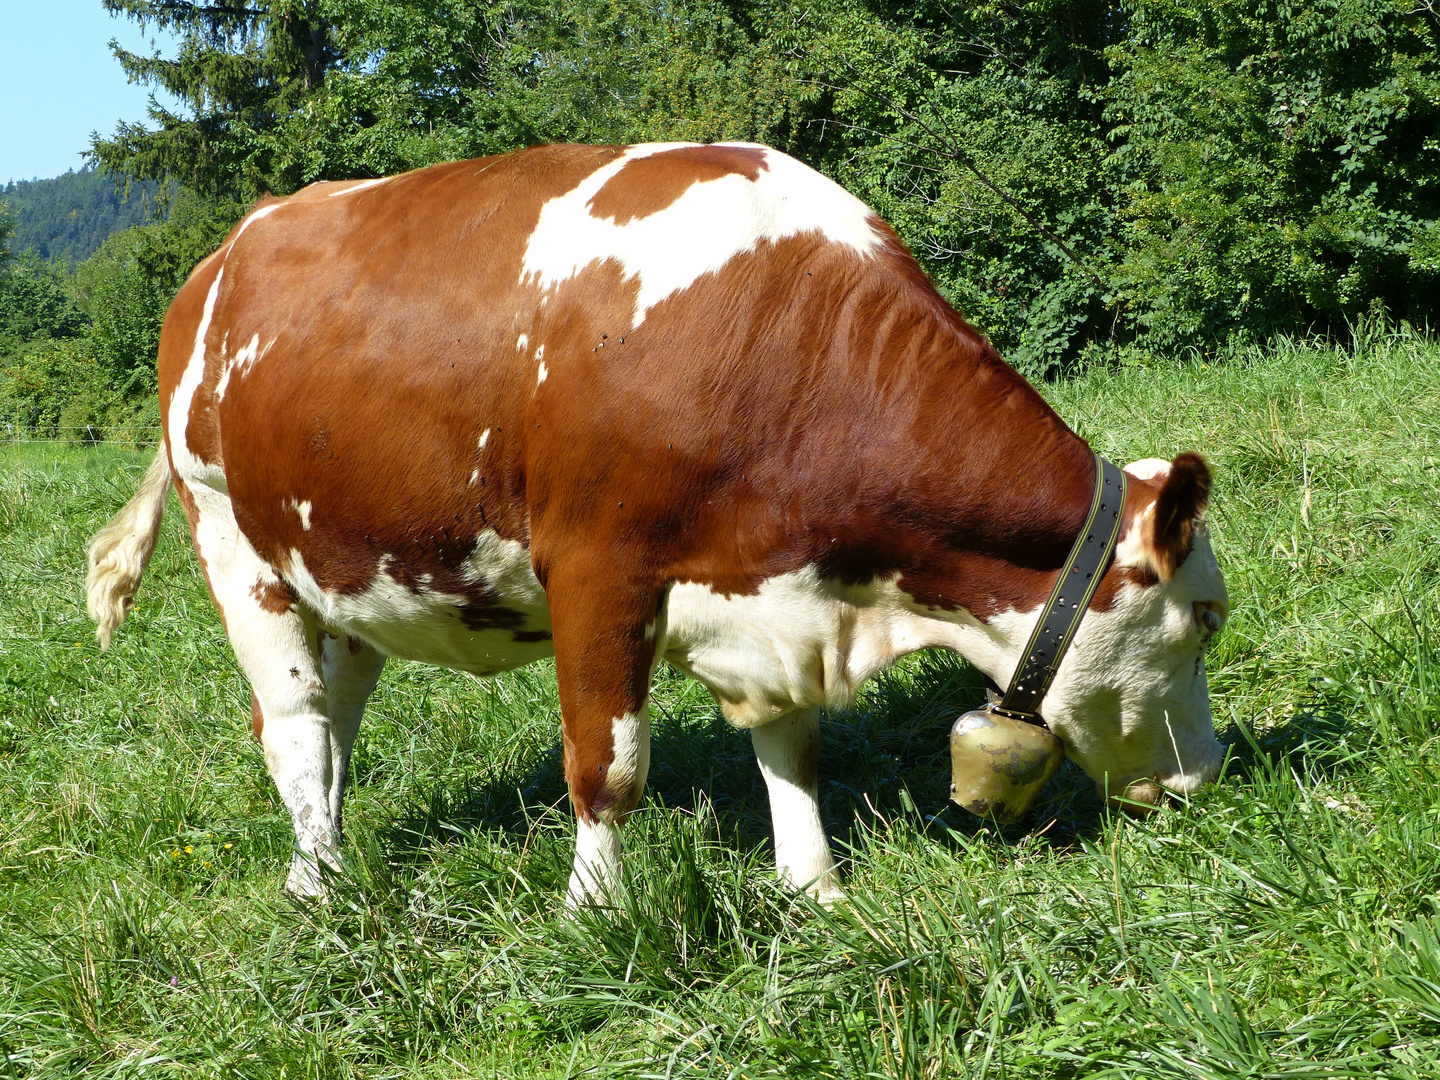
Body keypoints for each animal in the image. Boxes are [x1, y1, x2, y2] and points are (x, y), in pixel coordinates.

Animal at [84, 144, 1232, 904]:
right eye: (1205, 619)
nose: (1209, 773)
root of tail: (224, 253)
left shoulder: (770, 590)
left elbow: (792, 748)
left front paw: (814, 890)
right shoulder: (600, 569)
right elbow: (609, 767)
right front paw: (596, 915)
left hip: (352, 559)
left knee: (333, 714)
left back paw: (313, 861)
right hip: (233, 541)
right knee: (292, 723)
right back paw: (323, 893)